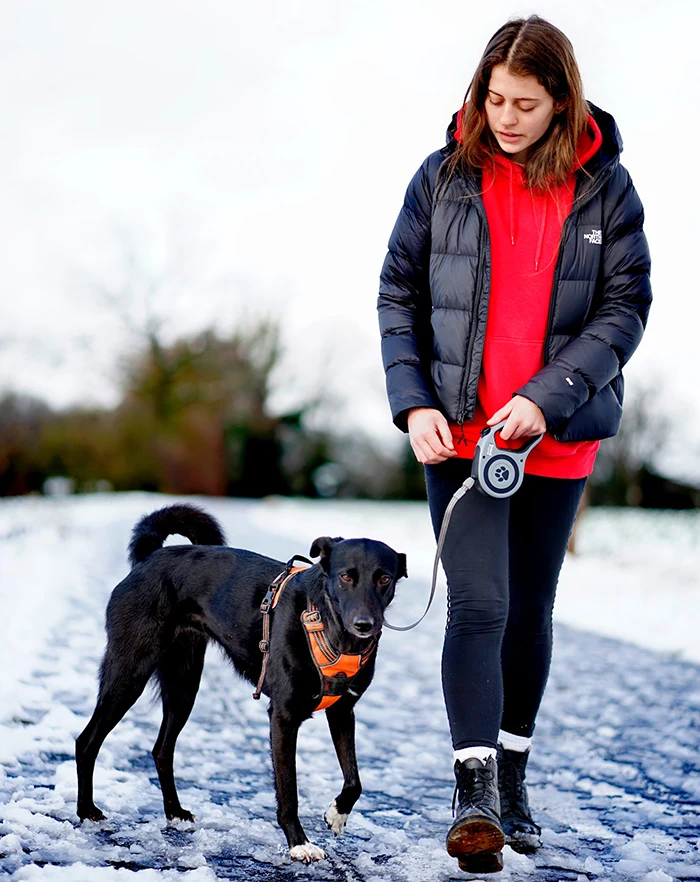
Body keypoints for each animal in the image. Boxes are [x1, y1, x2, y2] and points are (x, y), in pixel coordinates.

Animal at [74, 502, 408, 860]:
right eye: (346, 576)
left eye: (384, 579)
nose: (365, 624)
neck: (328, 627)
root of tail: (150, 558)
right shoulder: (283, 717)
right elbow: (288, 791)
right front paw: (299, 843)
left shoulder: (343, 712)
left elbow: (354, 780)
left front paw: (337, 813)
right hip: (129, 674)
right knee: (87, 741)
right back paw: (87, 812)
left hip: (183, 686)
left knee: (161, 750)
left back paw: (174, 812)